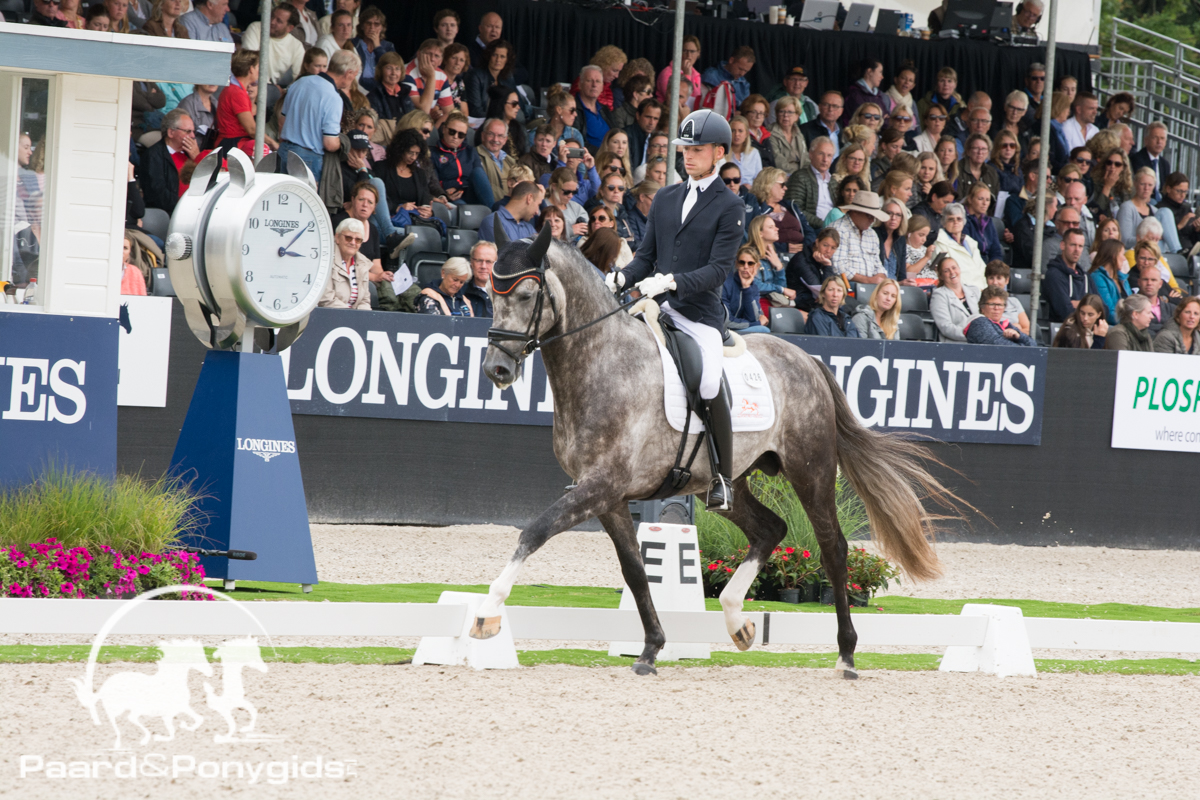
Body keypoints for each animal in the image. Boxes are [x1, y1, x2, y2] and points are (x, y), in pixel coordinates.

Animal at [472, 223, 959, 678]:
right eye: (492, 294)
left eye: (528, 294)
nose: (496, 369)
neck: (602, 363)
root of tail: (808, 360)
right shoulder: (606, 496)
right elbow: (635, 571)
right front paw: (651, 649)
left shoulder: (601, 486)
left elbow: (534, 532)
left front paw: (487, 614)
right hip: (730, 481)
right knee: (770, 529)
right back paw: (737, 620)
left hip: (812, 471)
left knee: (832, 548)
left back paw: (846, 656)